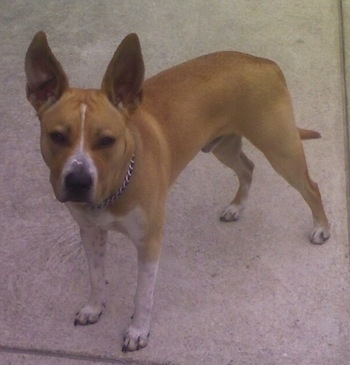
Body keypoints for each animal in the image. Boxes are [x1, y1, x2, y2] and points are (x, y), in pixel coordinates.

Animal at [23, 32, 328, 352]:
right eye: (57, 136)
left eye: (107, 140)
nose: (78, 181)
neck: (116, 186)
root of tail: (265, 62)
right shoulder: (91, 232)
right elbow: (96, 276)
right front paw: (95, 308)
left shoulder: (149, 243)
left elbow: (142, 296)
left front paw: (138, 331)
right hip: (223, 146)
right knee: (247, 168)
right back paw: (237, 206)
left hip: (281, 150)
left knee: (311, 187)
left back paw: (321, 227)